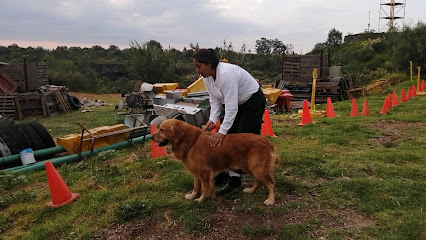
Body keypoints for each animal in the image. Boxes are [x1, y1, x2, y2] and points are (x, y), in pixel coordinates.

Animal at [151, 119, 280, 205]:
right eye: (159, 128)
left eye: (162, 130)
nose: (151, 137)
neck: (191, 142)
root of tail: (266, 141)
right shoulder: (196, 173)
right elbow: (196, 186)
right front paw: (193, 196)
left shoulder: (204, 172)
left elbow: (205, 188)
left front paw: (201, 199)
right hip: (249, 167)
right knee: (259, 181)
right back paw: (251, 190)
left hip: (257, 168)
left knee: (271, 184)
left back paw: (270, 200)